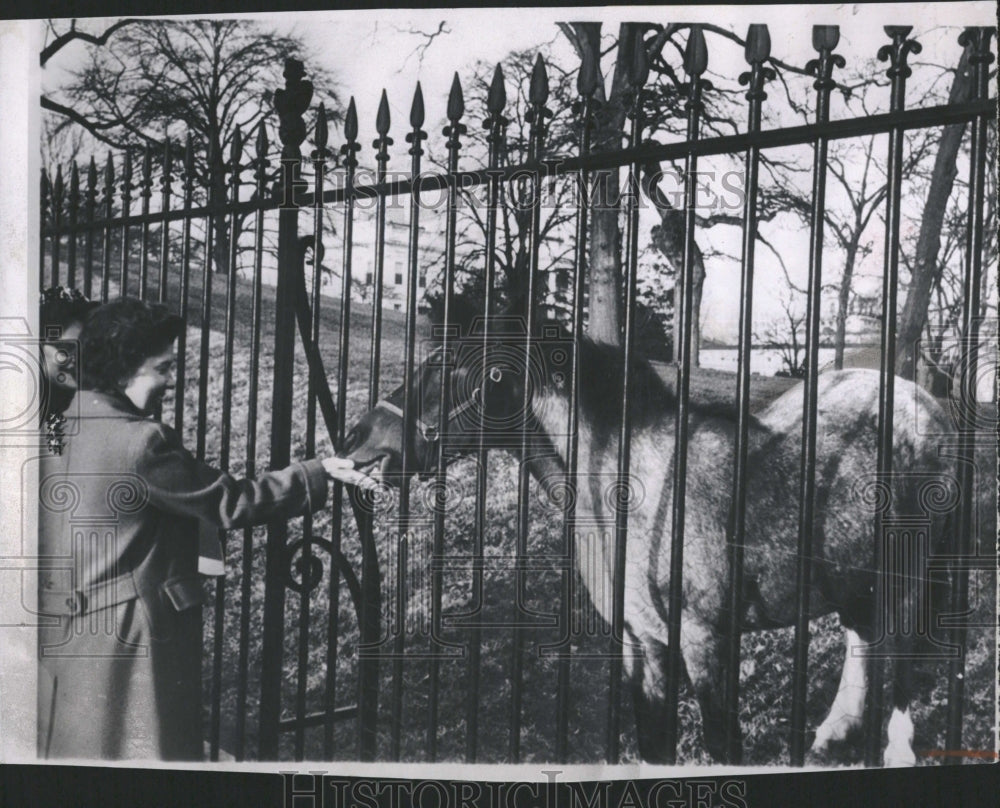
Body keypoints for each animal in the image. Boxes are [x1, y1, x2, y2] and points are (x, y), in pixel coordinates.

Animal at [342, 312, 952, 768]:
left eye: (443, 365)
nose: (358, 436)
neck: (638, 489)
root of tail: (921, 400)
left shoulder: (707, 645)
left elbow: (722, 748)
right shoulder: (641, 643)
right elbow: (655, 747)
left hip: (906, 571)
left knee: (898, 652)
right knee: (863, 638)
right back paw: (833, 734)